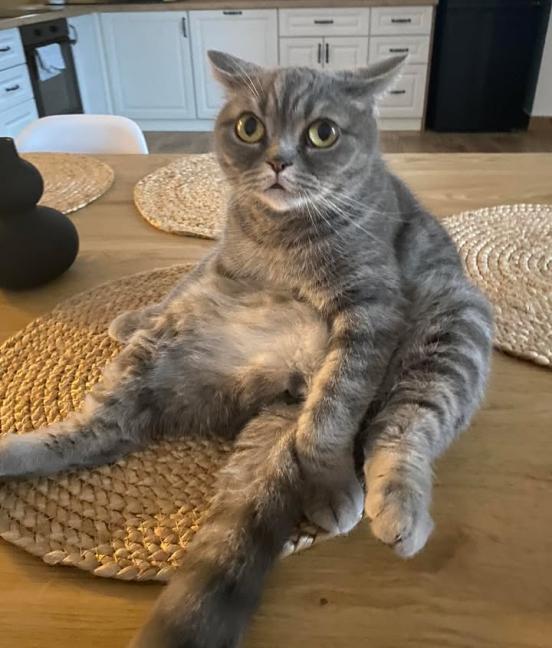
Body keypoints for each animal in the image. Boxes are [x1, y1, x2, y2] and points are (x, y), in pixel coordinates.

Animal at [0, 51, 493, 648]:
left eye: (323, 133)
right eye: (249, 127)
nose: (279, 161)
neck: (279, 237)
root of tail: (286, 376)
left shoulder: (372, 310)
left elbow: (333, 411)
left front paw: (329, 476)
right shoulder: (219, 263)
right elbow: (182, 280)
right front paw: (134, 313)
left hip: (451, 327)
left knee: (399, 431)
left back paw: (392, 506)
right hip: (157, 357)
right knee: (95, 433)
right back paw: (12, 453)